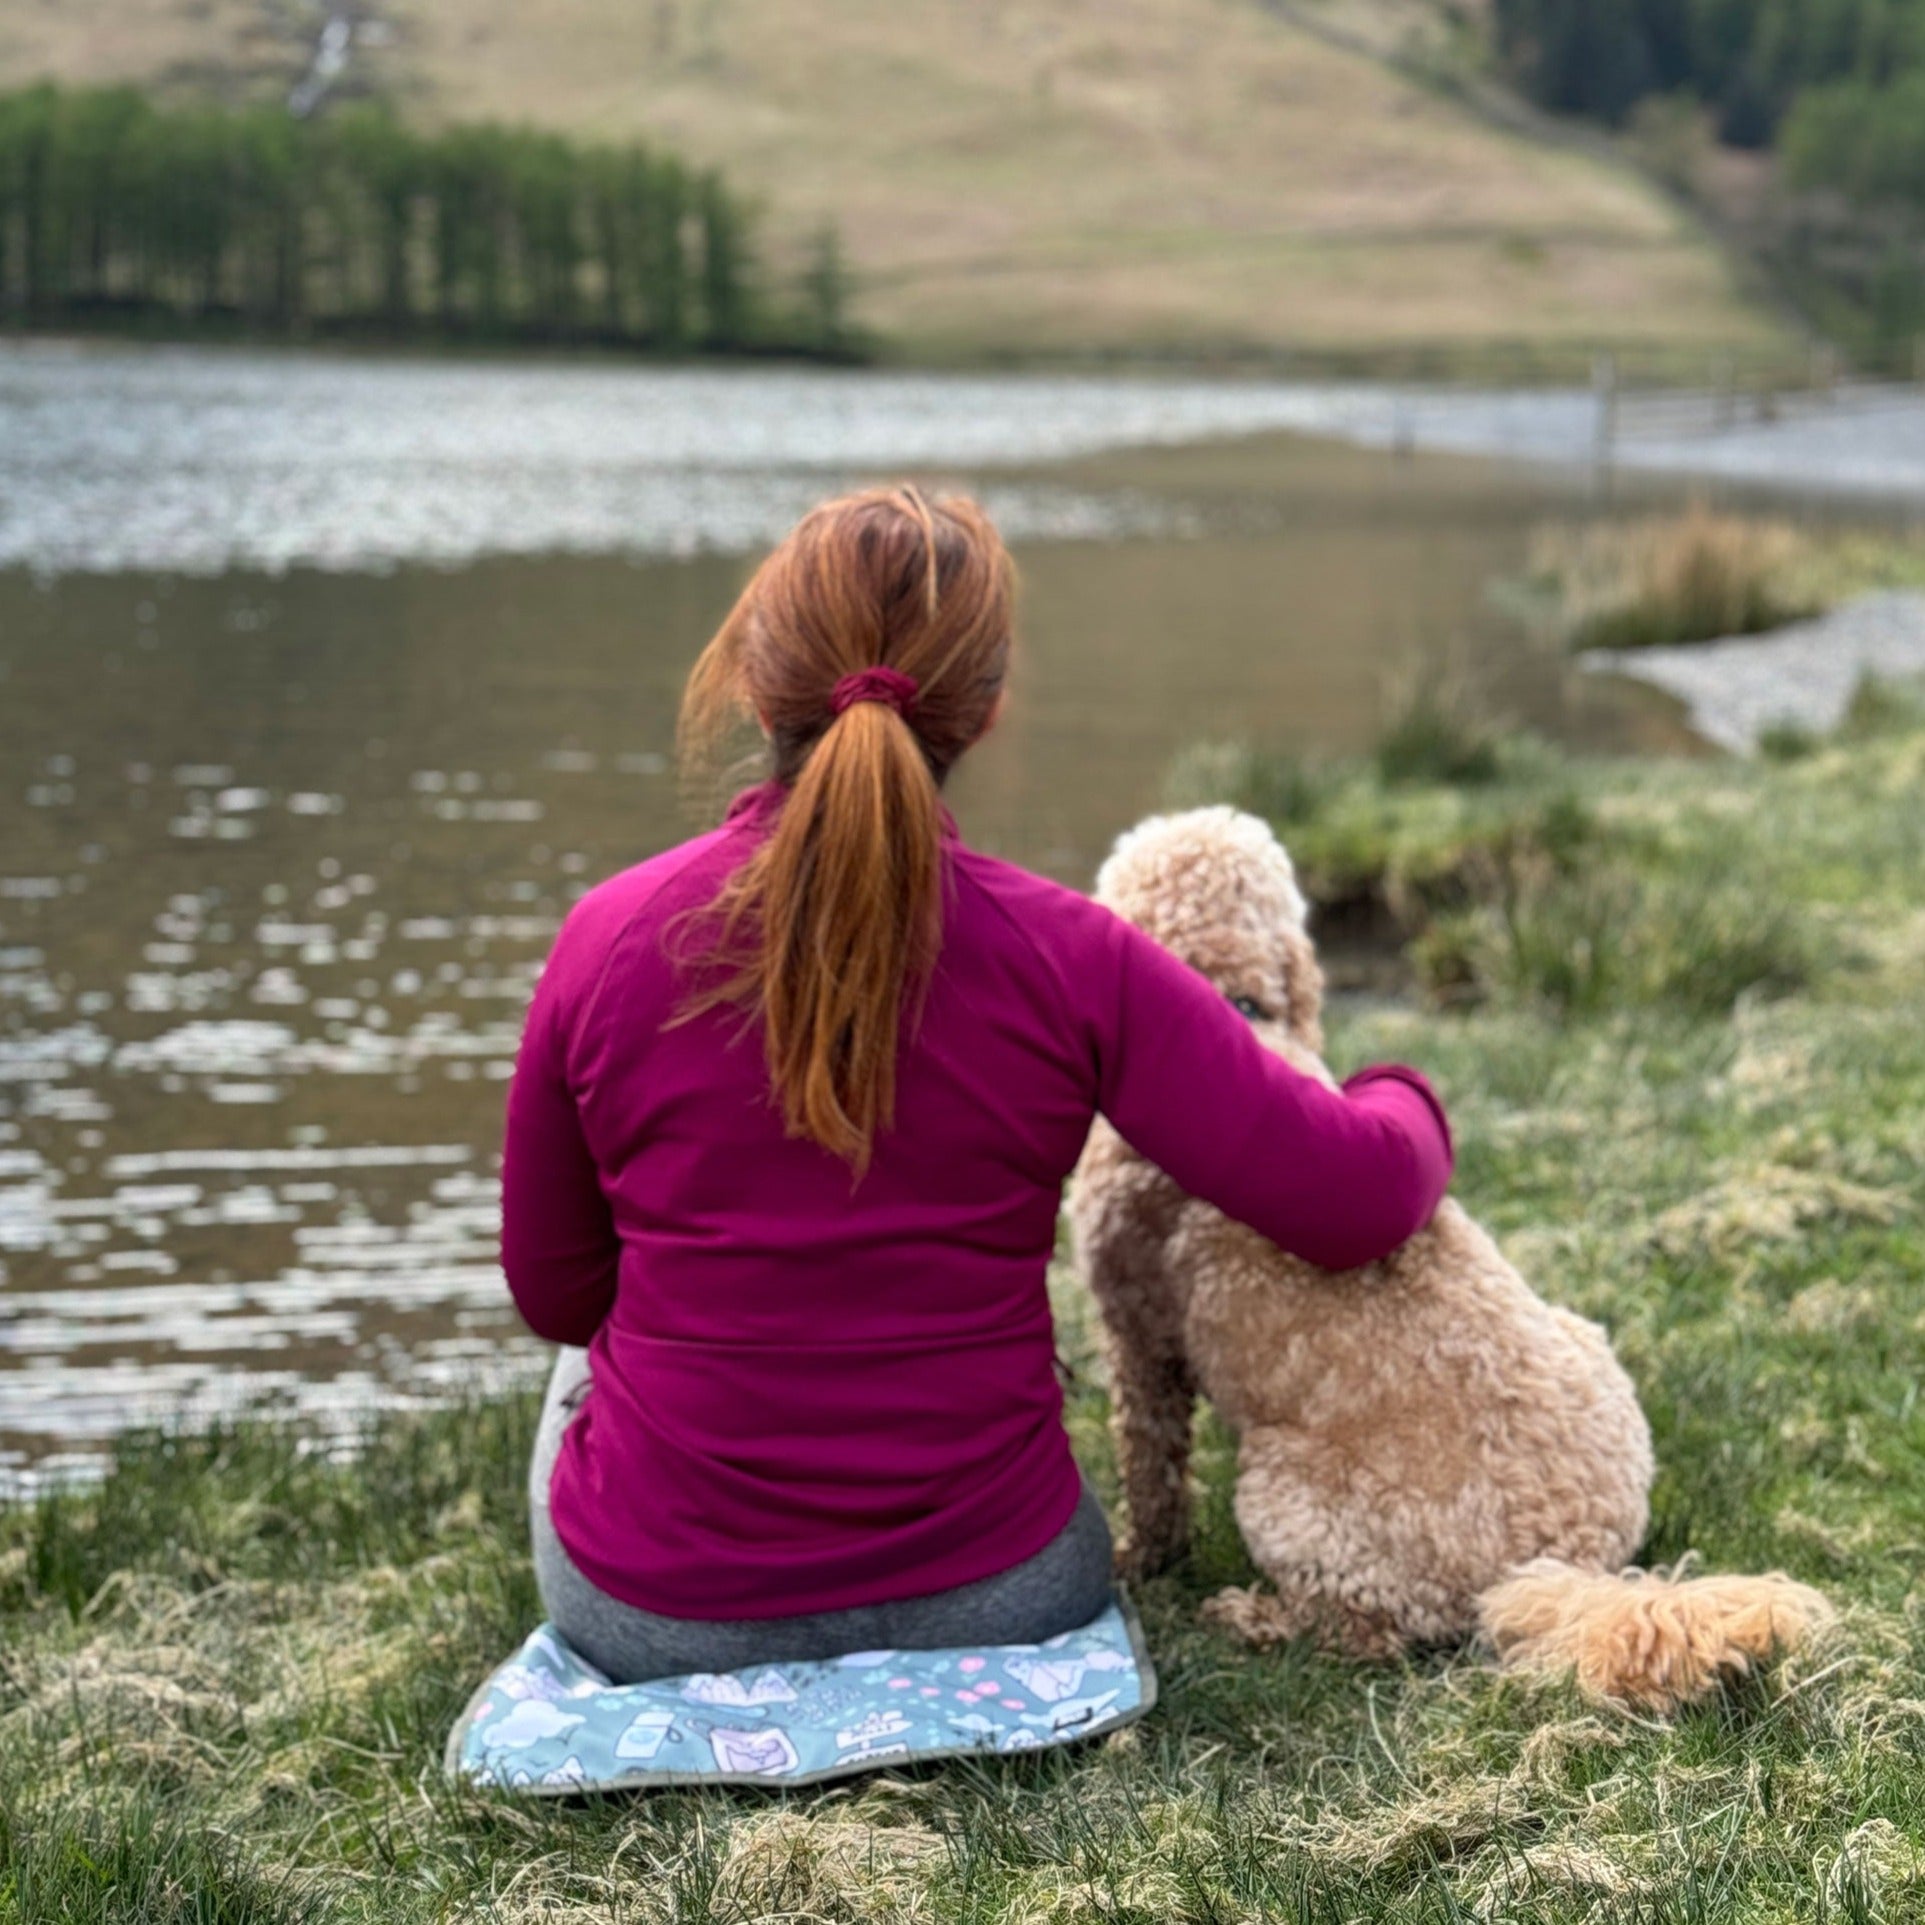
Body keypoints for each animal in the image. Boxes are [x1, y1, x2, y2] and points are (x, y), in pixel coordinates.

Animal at [1078, 804, 1824, 1709]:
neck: (1236, 1006)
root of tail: (1564, 1563)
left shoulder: (1137, 1333)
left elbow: (1149, 1462)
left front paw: (1138, 1558)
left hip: (1288, 1490)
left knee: (1362, 1632)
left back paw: (1251, 1616)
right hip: (1586, 1343)